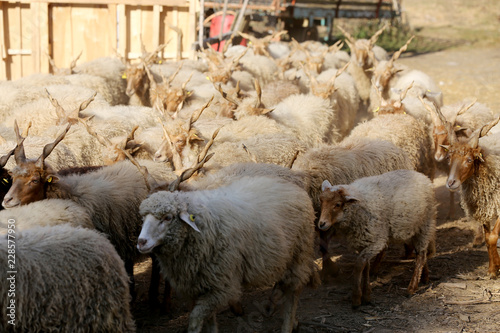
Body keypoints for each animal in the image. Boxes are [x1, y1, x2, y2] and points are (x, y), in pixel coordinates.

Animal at [137, 175, 318, 330]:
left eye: (168, 217)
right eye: (143, 218)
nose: (141, 242)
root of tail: (293, 187)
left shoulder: (221, 286)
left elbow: (195, 319)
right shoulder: (199, 285)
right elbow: (209, 321)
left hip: (299, 255)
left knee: (293, 292)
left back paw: (288, 325)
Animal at [318, 170, 436, 308]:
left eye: (337, 204)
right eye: (321, 201)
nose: (321, 224)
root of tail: (422, 175)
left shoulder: (376, 241)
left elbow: (359, 265)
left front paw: (356, 298)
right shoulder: (363, 242)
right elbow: (365, 266)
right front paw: (366, 295)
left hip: (425, 225)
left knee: (421, 255)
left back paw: (411, 288)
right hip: (412, 229)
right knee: (421, 253)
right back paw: (425, 277)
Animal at [442, 115, 500, 276]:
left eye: (469, 160)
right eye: (448, 158)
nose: (451, 183)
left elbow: (493, 237)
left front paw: (494, 271)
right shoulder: (484, 207)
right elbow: (487, 238)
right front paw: (493, 268)